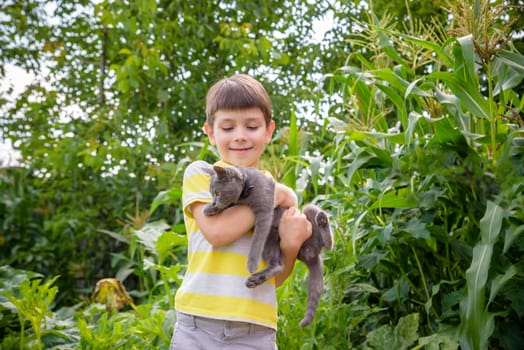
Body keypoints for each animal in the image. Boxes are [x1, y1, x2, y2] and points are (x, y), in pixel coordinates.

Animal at [203, 165, 334, 326]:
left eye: (218, 192)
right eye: (211, 193)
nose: (213, 202)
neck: (245, 192)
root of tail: (311, 254)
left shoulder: (265, 209)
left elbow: (257, 239)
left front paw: (251, 264)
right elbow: (229, 206)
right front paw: (209, 209)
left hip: (308, 211)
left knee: (329, 244)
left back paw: (322, 219)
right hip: (270, 244)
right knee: (278, 265)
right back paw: (255, 279)